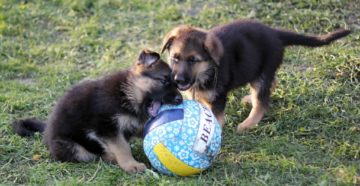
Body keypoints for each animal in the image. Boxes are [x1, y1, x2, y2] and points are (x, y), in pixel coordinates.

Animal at [12, 49, 181, 173]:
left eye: (176, 83)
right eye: (164, 80)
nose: (181, 99)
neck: (127, 93)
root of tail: (46, 130)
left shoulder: (134, 125)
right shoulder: (106, 127)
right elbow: (122, 147)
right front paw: (130, 165)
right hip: (73, 147)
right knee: (92, 155)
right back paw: (111, 157)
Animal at [161, 19, 352, 132]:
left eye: (193, 60)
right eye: (175, 58)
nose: (178, 80)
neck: (207, 70)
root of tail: (275, 33)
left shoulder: (218, 98)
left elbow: (216, 119)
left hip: (262, 73)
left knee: (262, 102)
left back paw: (247, 124)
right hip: (259, 71)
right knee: (271, 84)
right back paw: (249, 100)